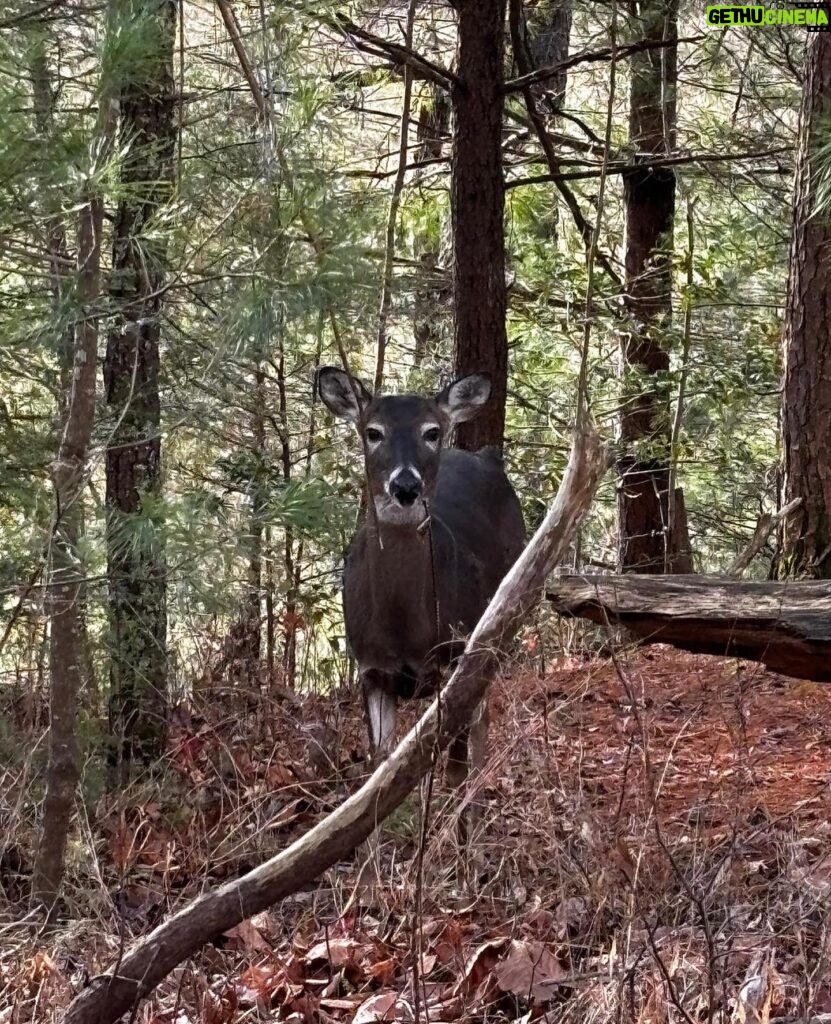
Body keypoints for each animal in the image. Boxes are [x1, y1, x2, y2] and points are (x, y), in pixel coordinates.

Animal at [317, 366, 523, 798]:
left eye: (431, 431)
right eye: (372, 431)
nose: (406, 487)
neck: (404, 629)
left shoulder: (456, 658)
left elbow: (455, 768)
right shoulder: (370, 668)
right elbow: (378, 771)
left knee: (481, 728)